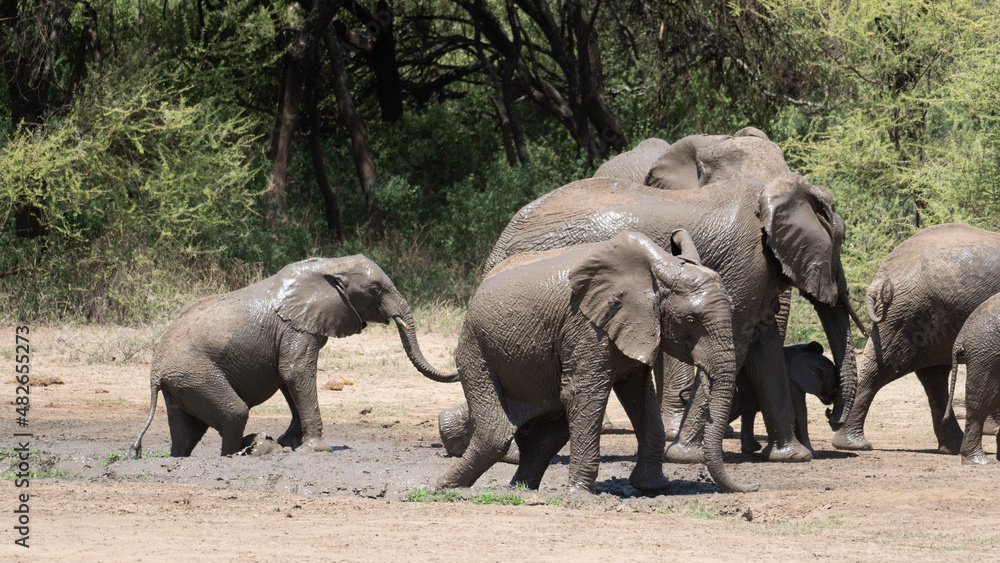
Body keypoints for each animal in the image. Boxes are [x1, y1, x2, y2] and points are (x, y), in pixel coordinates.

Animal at [130, 255, 456, 458]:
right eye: (375, 290)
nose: (454, 358)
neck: (330, 265)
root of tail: (155, 372)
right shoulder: (296, 328)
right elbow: (296, 372)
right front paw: (319, 449)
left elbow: (288, 379)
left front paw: (292, 443)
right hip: (196, 374)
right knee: (235, 414)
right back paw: (240, 452)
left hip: (181, 385)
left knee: (186, 435)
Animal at [438, 231, 757, 493]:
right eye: (691, 320)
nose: (750, 487)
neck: (659, 269)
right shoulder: (586, 326)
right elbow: (584, 394)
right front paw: (579, 494)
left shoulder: (633, 327)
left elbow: (639, 396)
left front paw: (653, 487)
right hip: (475, 346)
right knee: (496, 431)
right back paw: (445, 487)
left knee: (548, 433)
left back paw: (521, 489)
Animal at [484, 173, 861, 464]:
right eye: (840, 240)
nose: (831, 414)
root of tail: (501, 241)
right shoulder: (746, 261)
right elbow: (739, 343)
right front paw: (686, 456)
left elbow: (763, 348)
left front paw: (792, 456)